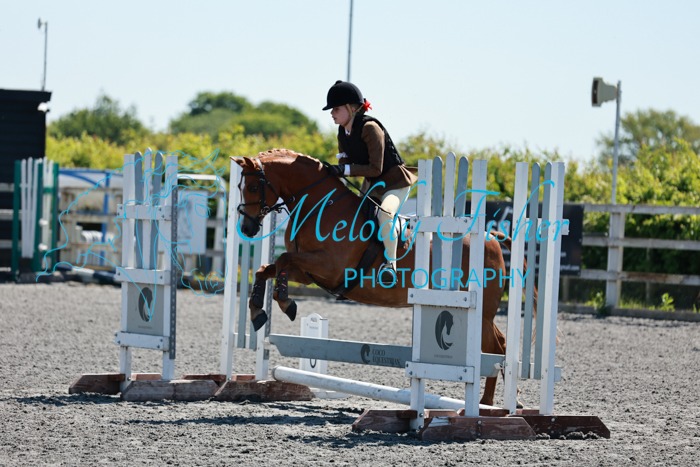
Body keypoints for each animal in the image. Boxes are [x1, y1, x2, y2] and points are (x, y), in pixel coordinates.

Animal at [233, 148, 512, 406]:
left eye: (255, 186)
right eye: (239, 186)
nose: (247, 228)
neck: (320, 206)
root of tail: (491, 237)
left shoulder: (330, 266)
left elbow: (282, 259)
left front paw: (286, 303)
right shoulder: (307, 274)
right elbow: (267, 269)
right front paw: (258, 312)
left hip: (480, 313)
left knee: (495, 350)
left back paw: (487, 405)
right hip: (478, 313)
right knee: (500, 343)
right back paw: (504, 403)